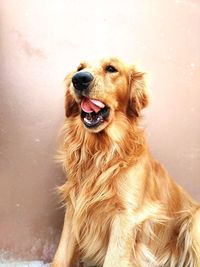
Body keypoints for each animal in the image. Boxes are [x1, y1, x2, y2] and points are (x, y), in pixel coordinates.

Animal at [52, 57, 200, 266]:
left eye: (111, 68)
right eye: (80, 68)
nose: (79, 79)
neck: (101, 152)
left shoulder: (126, 217)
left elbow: (113, 259)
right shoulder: (74, 206)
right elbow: (60, 257)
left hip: (194, 222)